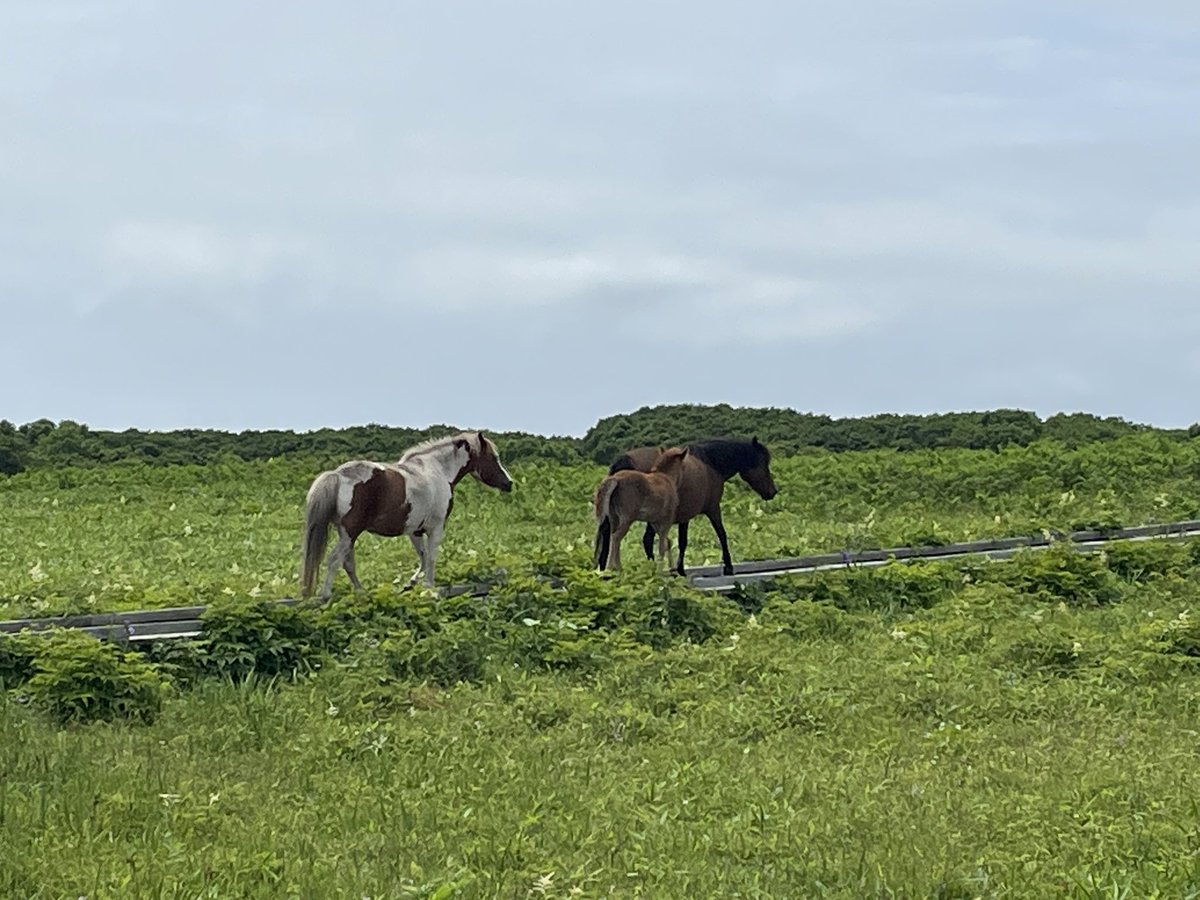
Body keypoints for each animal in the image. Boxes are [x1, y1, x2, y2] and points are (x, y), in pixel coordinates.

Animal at [300, 431, 513, 599]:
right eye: (493, 457)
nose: (509, 483)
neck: (438, 471)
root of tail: (337, 475)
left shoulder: (415, 530)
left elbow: (423, 558)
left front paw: (410, 584)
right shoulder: (436, 528)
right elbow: (431, 557)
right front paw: (429, 588)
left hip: (347, 535)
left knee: (347, 563)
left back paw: (361, 592)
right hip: (350, 534)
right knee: (335, 560)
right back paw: (326, 595)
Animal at [595, 437, 779, 576]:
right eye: (763, 462)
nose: (773, 491)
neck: (710, 464)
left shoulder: (681, 517)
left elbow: (681, 541)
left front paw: (678, 569)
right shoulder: (711, 509)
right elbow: (719, 535)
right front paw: (727, 566)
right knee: (641, 539)